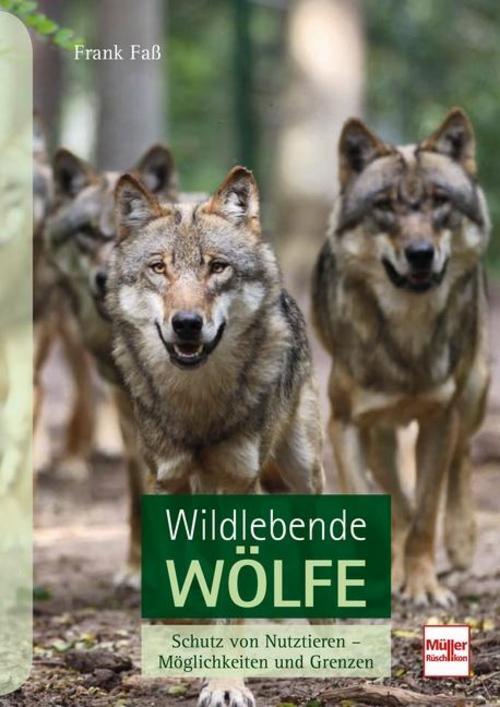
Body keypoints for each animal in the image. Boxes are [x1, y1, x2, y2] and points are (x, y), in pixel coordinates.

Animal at [107, 166, 324, 706]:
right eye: (158, 268)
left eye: (218, 267)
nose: (187, 324)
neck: (198, 406)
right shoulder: (167, 483)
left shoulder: (237, 485)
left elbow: (233, 599)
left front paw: (226, 682)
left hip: (301, 472)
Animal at [312, 108, 490, 607]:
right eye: (385, 207)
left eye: (439, 201)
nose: (420, 254)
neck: (407, 338)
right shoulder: (345, 423)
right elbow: (379, 503)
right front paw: (391, 574)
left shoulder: (439, 419)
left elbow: (426, 513)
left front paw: (424, 584)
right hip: (379, 433)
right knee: (392, 485)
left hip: (473, 392)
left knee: (462, 456)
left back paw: (461, 540)